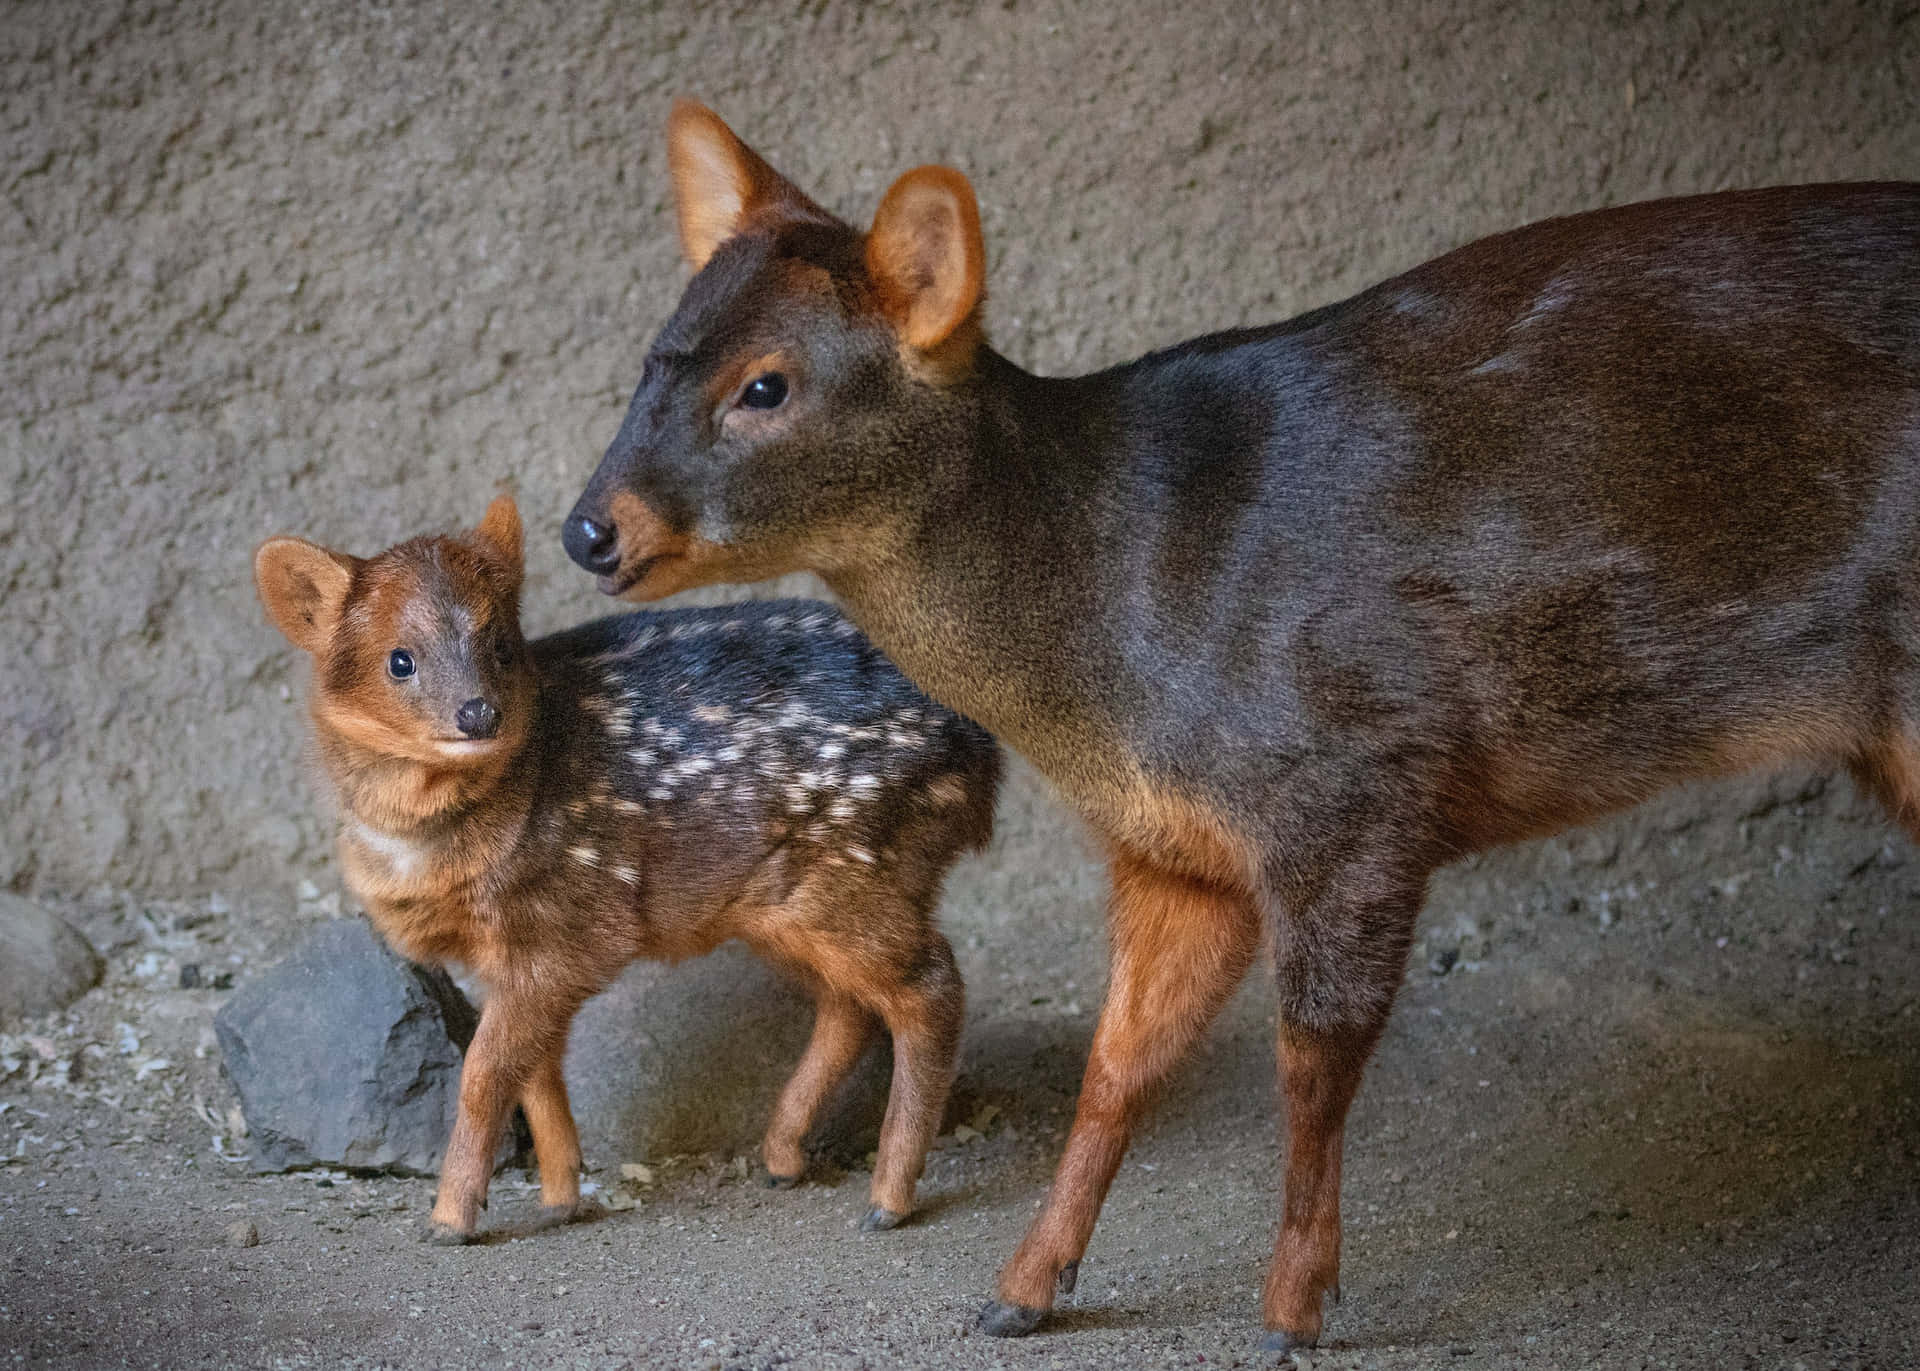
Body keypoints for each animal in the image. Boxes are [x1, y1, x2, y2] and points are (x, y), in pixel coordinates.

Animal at [560, 101, 1920, 1351]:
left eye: (767, 386)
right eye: (654, 359)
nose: (588, 530)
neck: (1117, 625)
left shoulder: (1352, 783)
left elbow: (1310, 1064)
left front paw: (1294, 1311)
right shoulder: (1177, 848)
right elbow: (1117, 1066)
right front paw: (1023, 1289)